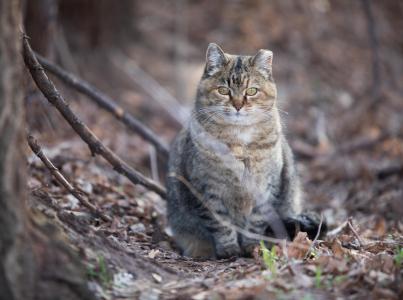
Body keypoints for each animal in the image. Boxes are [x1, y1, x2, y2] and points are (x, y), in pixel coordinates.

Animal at [166, 42, 326, 258]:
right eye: (223, 90)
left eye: (251, 91)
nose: (238, 105)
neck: (239, 142)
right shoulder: (207, 190)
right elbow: (221, 224)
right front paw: (228, 249)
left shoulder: (266, 187)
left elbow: (256, 221)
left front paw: (252, 246)